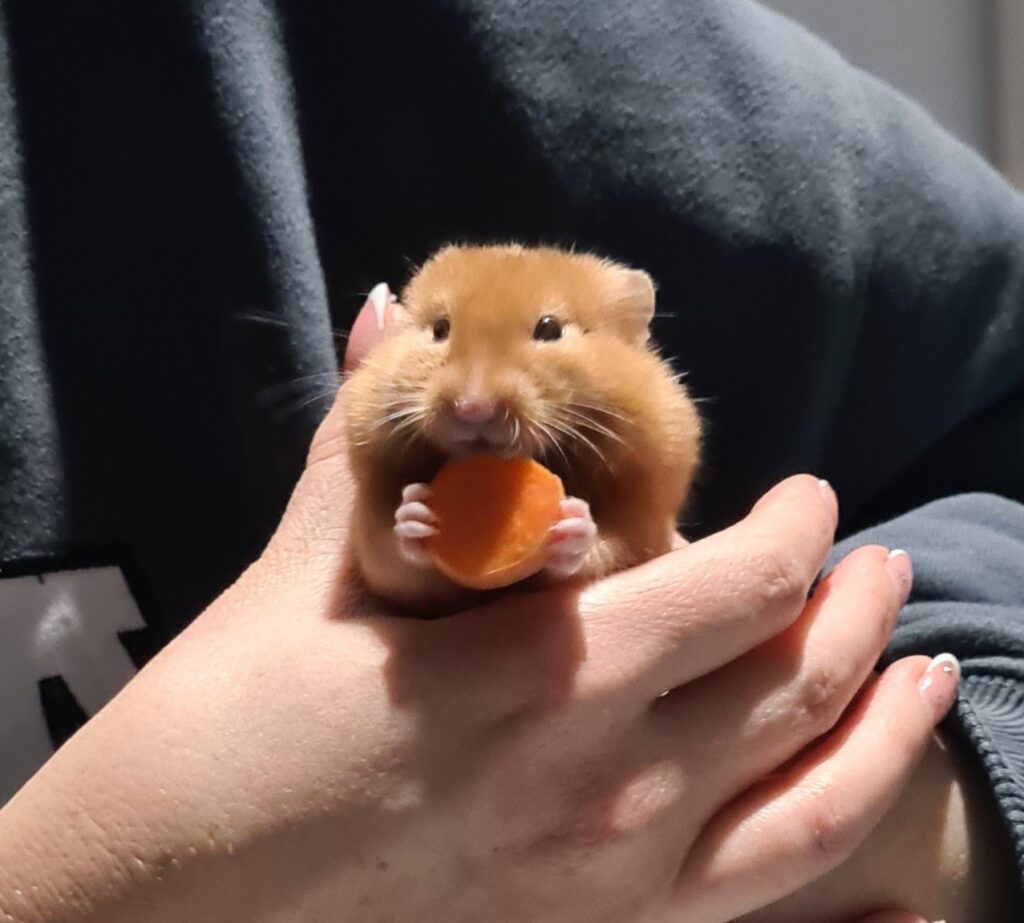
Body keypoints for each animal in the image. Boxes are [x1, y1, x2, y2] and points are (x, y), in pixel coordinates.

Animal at [343, 244, 702, 614]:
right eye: (440, 328)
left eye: (550, 329)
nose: (472, 408)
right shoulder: (380, 555)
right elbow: (396, 558)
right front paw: (417, 513)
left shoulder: (643, 530)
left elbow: (602, 550)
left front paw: (572, 523)